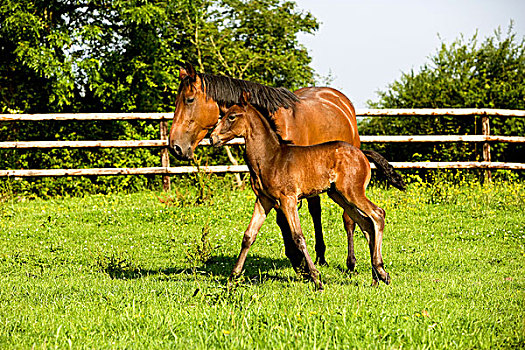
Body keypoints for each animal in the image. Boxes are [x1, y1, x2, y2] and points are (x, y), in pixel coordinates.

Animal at [211, 94, 390, 288]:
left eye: (232, 116)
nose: (213, 138)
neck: (271, 158)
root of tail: (362, 153)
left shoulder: (288, 199)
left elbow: (298, 237)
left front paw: (316, 279)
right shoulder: (263, 200)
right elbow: (248, 236)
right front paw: (232, 278)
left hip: (353, 192)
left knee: (377, 214)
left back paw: (381, 271)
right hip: (339, 196)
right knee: (366, 224)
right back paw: (375, 278)